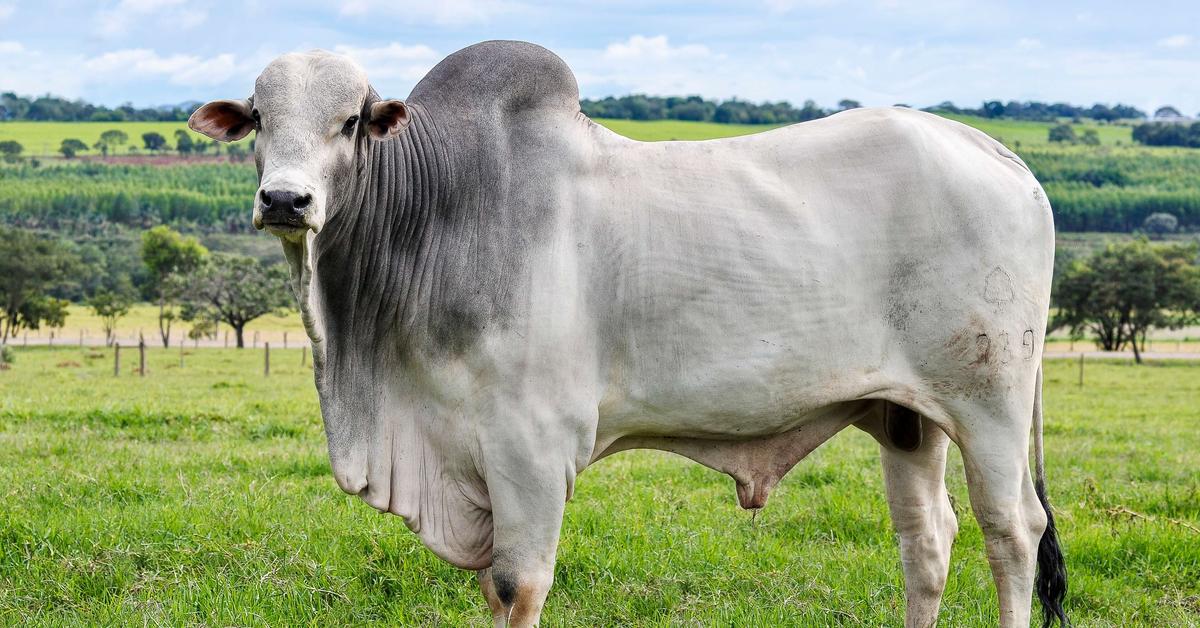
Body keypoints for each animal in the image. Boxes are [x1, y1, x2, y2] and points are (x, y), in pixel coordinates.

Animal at [189, 40, 1070, 628]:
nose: (286, 200)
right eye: (260, 118)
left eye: (349, 122)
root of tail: (1000, 156)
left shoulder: (532, 446)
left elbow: (515, 585)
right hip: (907, 418)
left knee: (1011, 532)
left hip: (989, 403)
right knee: (927, 542)